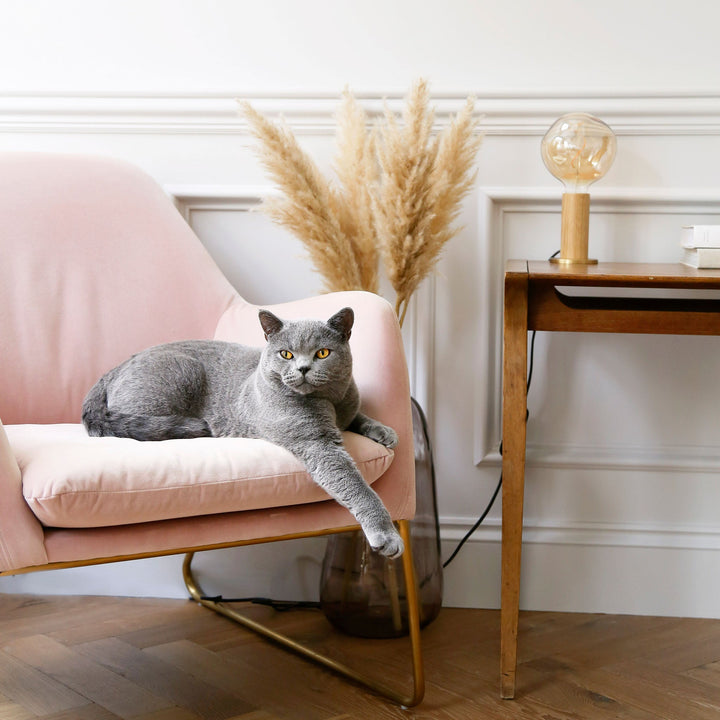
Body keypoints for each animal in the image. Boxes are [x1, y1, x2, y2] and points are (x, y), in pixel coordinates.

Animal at [83, 308, 404, 556]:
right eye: (286, 354)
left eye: (322, 353)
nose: (302, 368)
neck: (331, 400)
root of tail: (114, 369)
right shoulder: (316, 442)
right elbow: (356, 486)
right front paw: (387, 536)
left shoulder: (346, 406)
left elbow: (357, 417)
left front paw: (383, 431)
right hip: (178, 375)